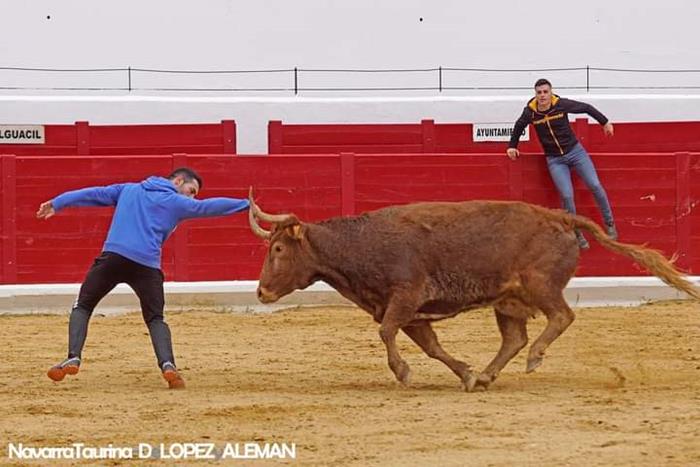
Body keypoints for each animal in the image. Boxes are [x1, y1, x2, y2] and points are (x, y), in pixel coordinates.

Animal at [247, 190, 700, 392]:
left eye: (278, 249)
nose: (262, 293)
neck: (361, 245)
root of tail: (559, 216)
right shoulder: (412, 313)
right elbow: (431, 346)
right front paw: (464, 373)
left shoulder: (405, 298)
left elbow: (386, 333)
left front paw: (403, 372)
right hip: (509, 301)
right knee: (514, 337)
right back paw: (485, 375)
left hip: (540, 285)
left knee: (561, 316)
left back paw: (535, 358)